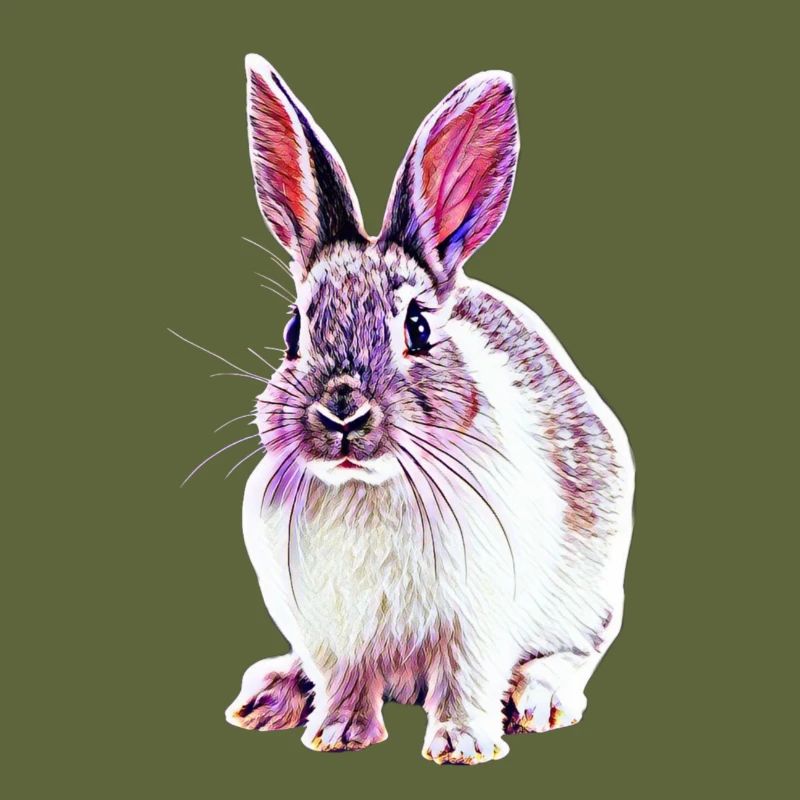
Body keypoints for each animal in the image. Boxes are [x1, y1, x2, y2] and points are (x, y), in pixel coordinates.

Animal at [223, 54, 634, 765]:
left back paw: (541, 698)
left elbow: (466, 679)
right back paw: (268, 695)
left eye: (417, 327)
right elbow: (345, 679)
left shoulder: (477, 621)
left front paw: (464, 746)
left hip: (591, 592)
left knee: (579, 649)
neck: (369, 488)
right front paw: (336, 735)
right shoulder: (333, 631)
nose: (342, 412)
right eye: (293, 331)